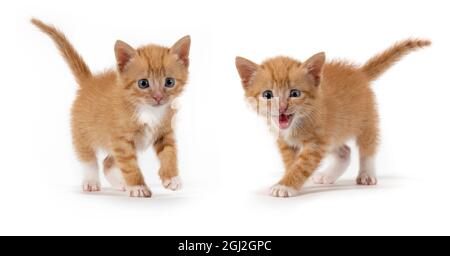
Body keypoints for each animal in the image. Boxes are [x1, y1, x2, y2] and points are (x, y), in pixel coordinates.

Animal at [32, 18, 191, 198]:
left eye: (169, 82)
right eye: (143, 83)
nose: (158, 97)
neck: (149, 111)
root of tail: (89, 82)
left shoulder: (165, 131)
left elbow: (169, 153)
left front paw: (172, 177)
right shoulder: (121, 140)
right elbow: (129, 165)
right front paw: (137, 186)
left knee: (108, 162)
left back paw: (121, 184)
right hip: (82, 132)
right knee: (88, 158)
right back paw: (91, 181)